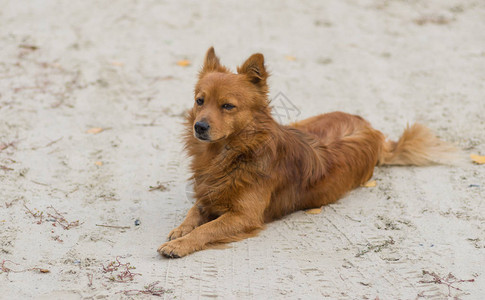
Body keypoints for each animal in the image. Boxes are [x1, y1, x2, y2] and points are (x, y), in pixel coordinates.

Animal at [157, 47, 456, 258]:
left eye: (228, 106)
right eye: (200, 101)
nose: (199, 126)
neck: (230, 153)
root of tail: (373, 130)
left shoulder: (244, 217)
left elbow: (207, 228)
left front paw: (182, 243)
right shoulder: (209, 194)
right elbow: (194, 211)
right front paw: (181, 229)